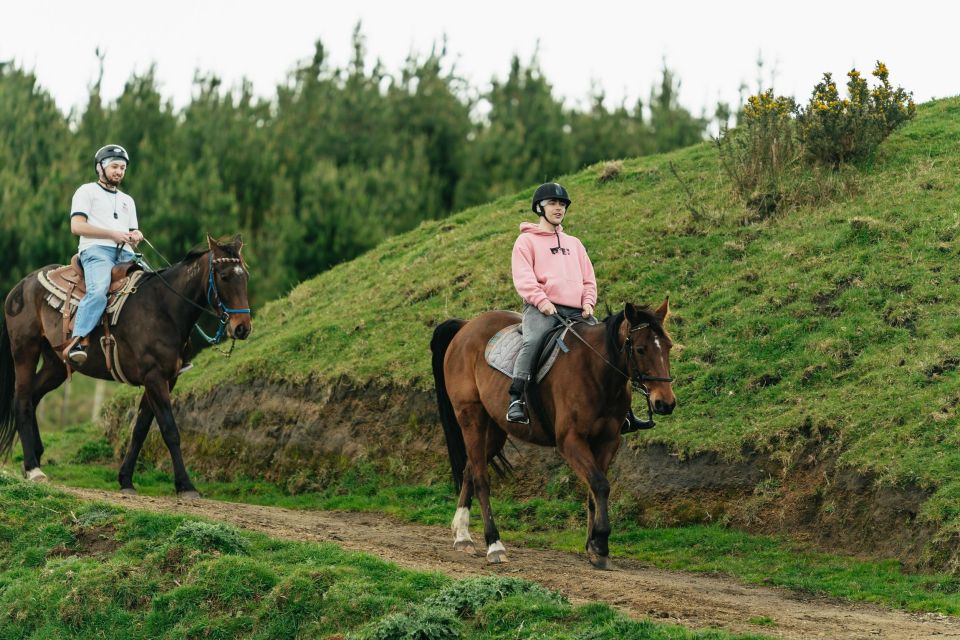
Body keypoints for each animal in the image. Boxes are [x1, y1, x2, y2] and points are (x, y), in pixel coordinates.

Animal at [0, 235, 251, 496]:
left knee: (33, 397)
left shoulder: (166, 380)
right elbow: (170, 430)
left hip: (55, 365)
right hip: (25, 352)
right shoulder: (154, 378)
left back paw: (36, 457)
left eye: (245, 275)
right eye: (224, 276)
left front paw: (126, 480)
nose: (242, 327)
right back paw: (33, 468)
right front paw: (185, 485)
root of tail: (22, 284)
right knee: (22, 401)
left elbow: (140, 430)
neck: (164, 308)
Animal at [432, 302, 672, 568]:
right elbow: (600, 484)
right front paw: (600, 542)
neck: (596, 371)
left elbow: (594, 489)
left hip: (494, 429)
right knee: (481, 478)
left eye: (668, 346)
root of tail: (466, 326)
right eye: (640, 349)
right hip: (471, 417)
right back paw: (494, 544)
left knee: (470, 469)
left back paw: (462, 536)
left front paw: (594, 547)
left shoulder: (608, 441)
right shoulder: (570, 440)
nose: (665, 403)